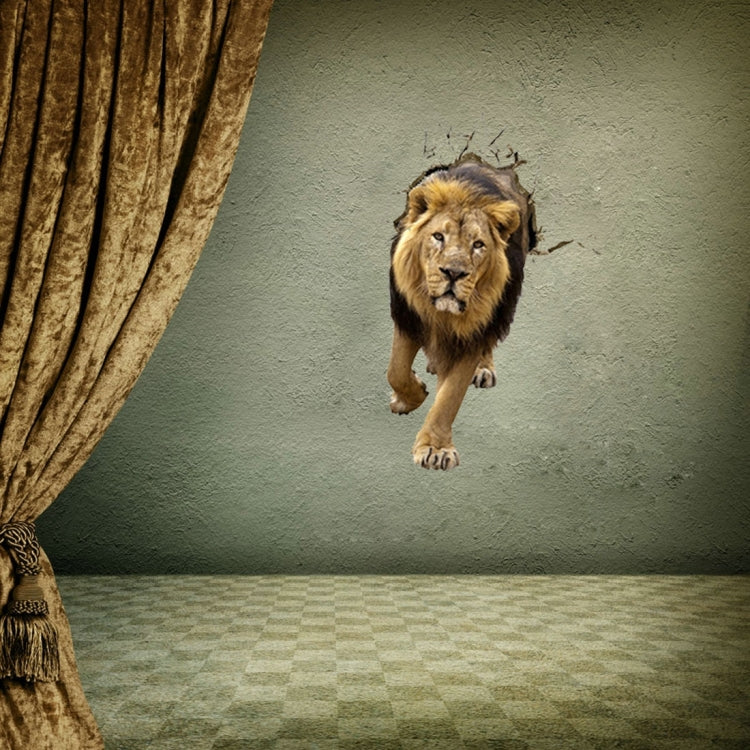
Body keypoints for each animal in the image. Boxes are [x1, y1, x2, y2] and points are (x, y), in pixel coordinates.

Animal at [388, 153, 537, 470]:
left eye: (478, 244)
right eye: (438, 237)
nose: (454, 273)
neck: (442, 316)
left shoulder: (472, 334)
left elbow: (450, 397)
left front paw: (436, 449)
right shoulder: (407, 315)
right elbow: (396, 370)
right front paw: (410, 398)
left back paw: (482, 369)